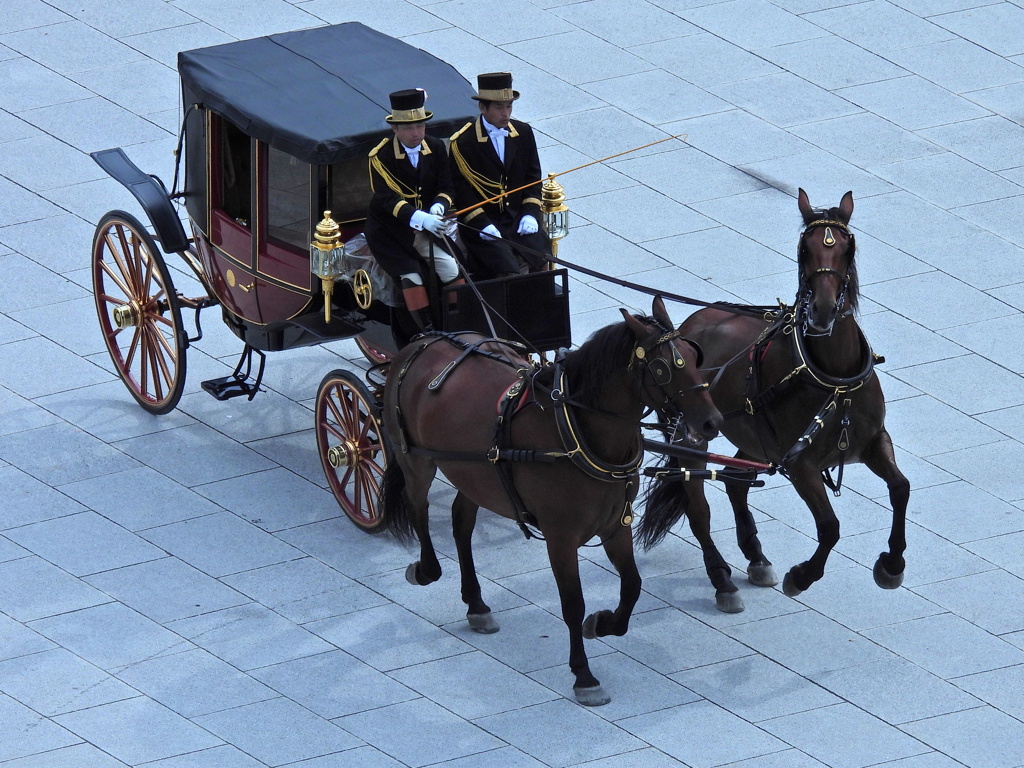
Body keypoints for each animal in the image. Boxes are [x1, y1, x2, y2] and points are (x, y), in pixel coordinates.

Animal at [376, 296, 720, 708]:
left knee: (461, 522)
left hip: (475, 474)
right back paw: (427, 568)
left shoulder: (614, 526)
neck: (578, 431)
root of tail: (424, 340)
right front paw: (584, 675)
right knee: (419, 507)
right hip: (415, 457)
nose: (712, 422)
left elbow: (633, 586)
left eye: (695, 355)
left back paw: (476, 603)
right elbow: (573, 604)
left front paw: (604, 623)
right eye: (662, 368)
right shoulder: (560, 537)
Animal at [634, 191, 909, 614]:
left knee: (735, 483)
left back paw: (756, 557)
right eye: (803, 249)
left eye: (847, 248)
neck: (834, 379)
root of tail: (686, 326)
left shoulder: (874, 441)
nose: (823, 310)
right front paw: (803, 576)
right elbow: (830, 527)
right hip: (692, 434)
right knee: (698, 509)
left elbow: (900, 489)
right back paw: (722, 580)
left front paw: (892, 565)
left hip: (754, 437)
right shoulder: (801, 465)